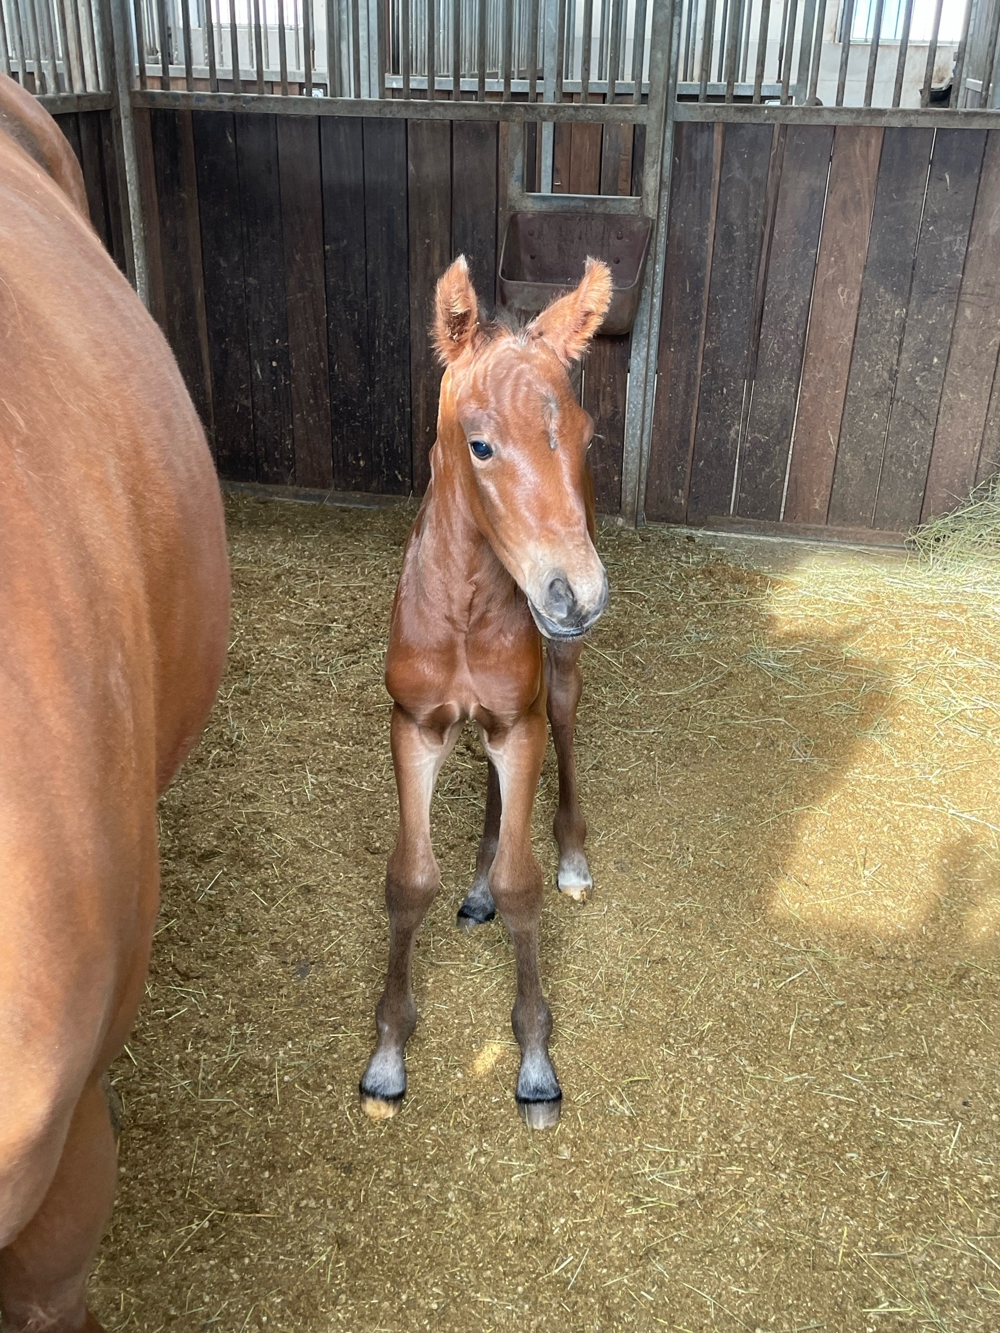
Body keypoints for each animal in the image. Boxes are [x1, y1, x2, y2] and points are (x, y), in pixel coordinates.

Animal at [360, 257, 610, 1125]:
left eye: (584, 436)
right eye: (480, 444)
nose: (579, 592)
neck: (467, 607)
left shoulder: (519, 721)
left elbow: (522, 882)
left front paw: (535, 1061)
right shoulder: (413, 724)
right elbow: (408, 880)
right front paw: (386, 1060)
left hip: (552, 682)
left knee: (564, 725)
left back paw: (572, 857)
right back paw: (473, 888)